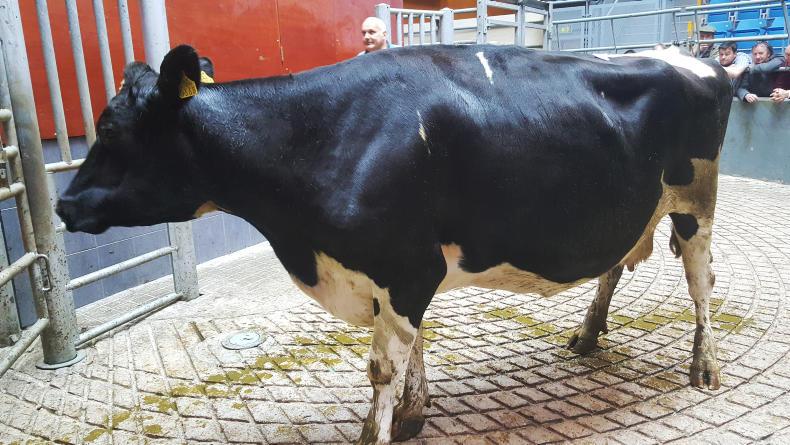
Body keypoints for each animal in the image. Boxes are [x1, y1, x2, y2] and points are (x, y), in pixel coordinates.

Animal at [56, 44, 732, 444]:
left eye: (109, 128)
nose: (63, 205)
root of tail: (694, 57)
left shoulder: (406, 267)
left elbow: (384, 366)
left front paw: (375, 431)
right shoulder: (399, 273)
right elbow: (413, 352)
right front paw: (412, 415)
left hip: (697, 203)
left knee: (702, 281)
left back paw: (704, 365)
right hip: (633, 210)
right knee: (615, 264)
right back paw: (589, 334)